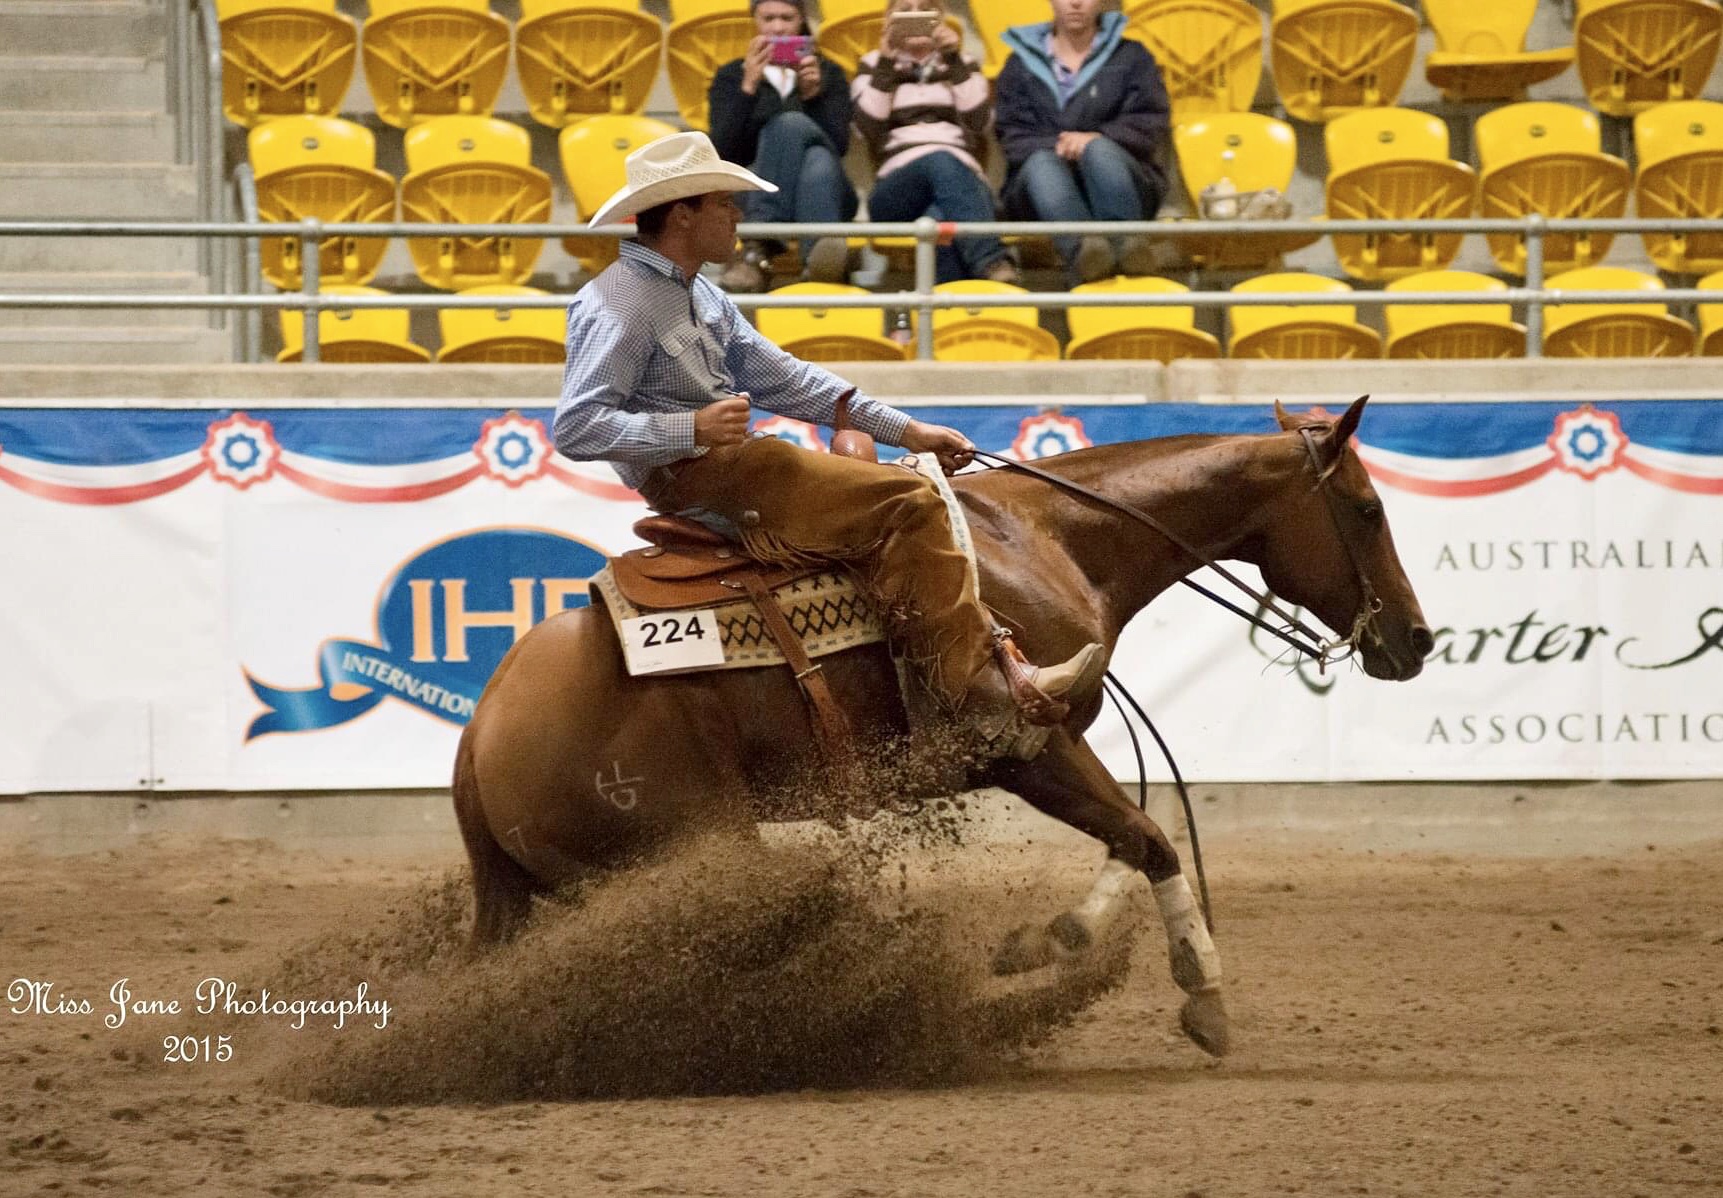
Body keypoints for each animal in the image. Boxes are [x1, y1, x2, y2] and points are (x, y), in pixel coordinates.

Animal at [451, 396, 1432, 1056]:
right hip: (695, 844)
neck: (1044, 541)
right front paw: (1199, 991)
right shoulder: (1024, 745)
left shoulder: (1049, 748)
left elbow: (1133, 833)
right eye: (1367, 509)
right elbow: (1146, 835)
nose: (1417, 640)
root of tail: (478, 742)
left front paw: (1052, 941)